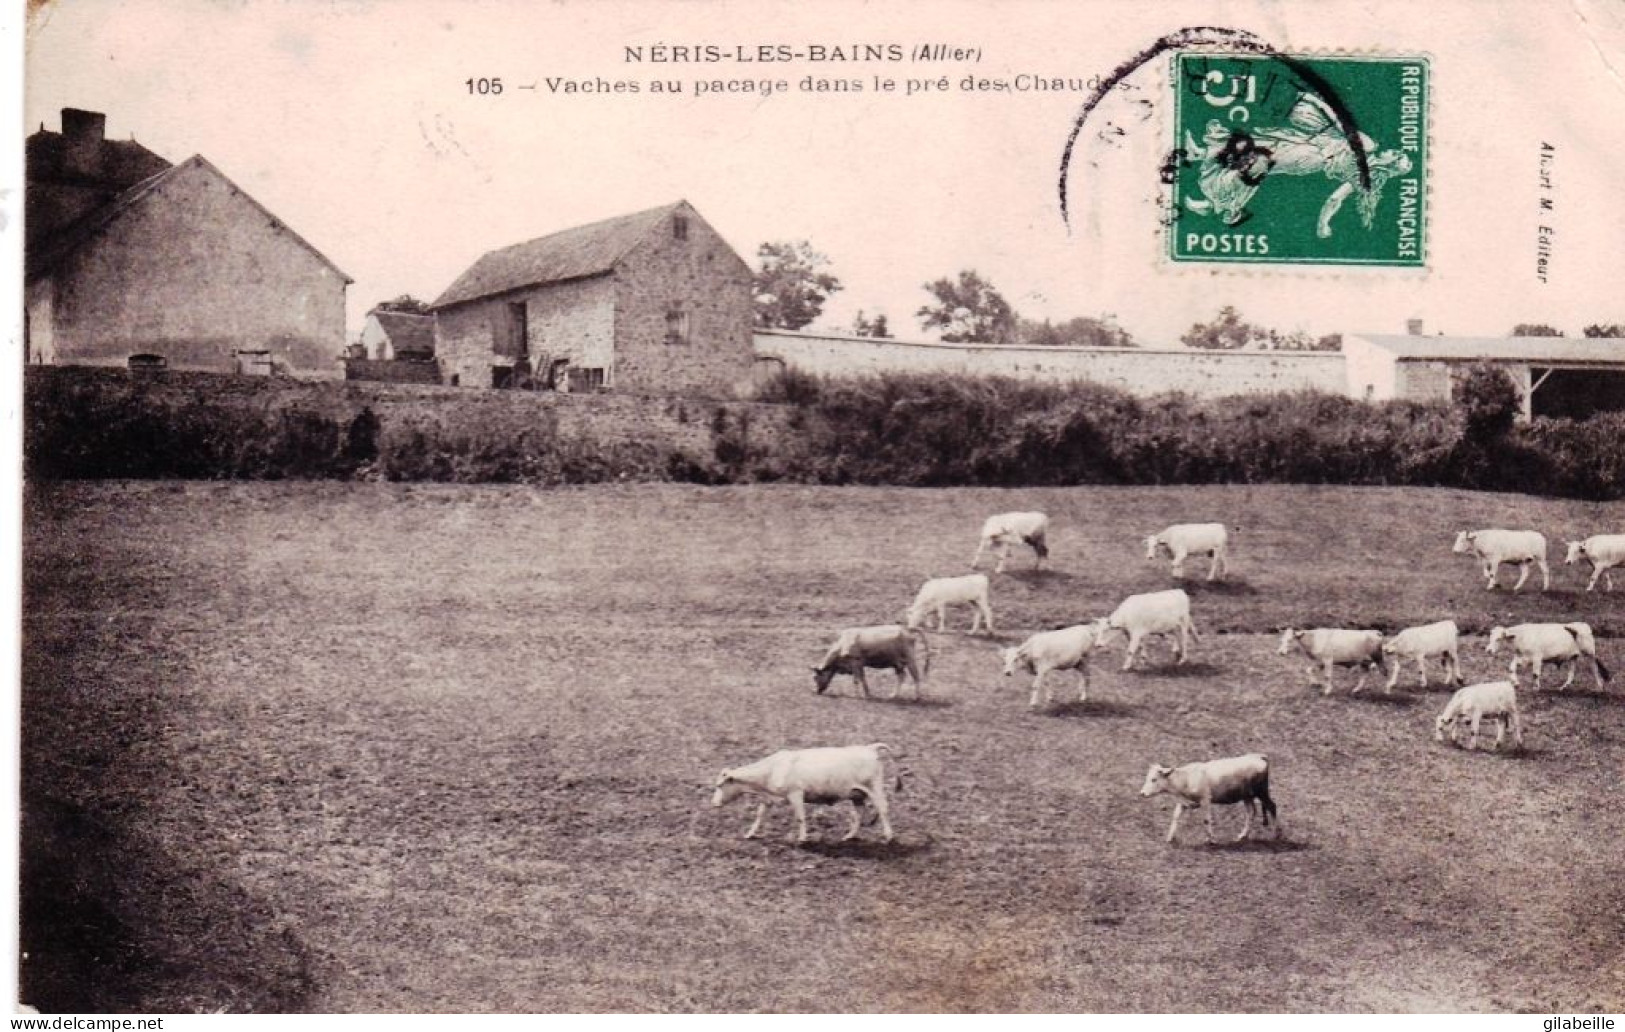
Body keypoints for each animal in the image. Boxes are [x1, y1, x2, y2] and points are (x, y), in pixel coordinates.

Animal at [711, 747, 897, 845]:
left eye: (720, 785)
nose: (714, 804)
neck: (773, 768)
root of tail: (869, 748)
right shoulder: (769, 798)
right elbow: (760, 815)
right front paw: (750, 834)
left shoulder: (796, 794)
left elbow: (800, 817)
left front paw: (802, 838)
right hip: (856, 795)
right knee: (859, 814)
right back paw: (849, 836)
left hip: (874, 788)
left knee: (883, 809)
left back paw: (888, 837)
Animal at [1137, 754, 1274, 845]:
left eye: (1154, 779)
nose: (1142, 793)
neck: (1186, 778)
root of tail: (1259, 757)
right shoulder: (1185, 802)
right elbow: (1176, 816)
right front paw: (1170, 837)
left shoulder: (1205, 800)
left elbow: (1206, 820)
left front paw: (1211, 839)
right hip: (1247, 796)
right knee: (1251, 812)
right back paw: (1243, 836)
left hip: (1262, 792)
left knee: (1272, 807)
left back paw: (1276, 834)